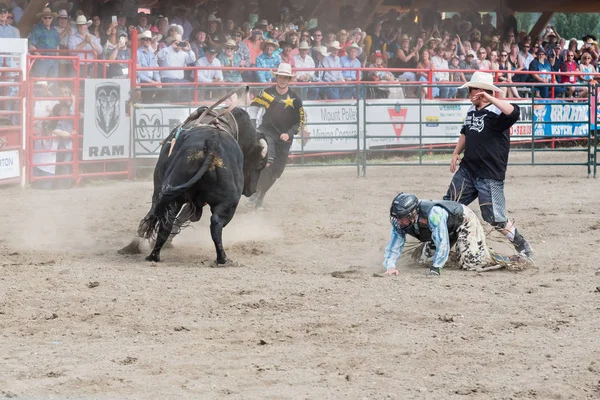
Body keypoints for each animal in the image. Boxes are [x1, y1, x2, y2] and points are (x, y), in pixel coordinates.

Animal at [136, 107, 270, 262]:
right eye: (260, 164)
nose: (253, 189)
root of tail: (212, 143)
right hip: (228, 202)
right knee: (216, 223)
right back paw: (222, 258)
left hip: (174, 195)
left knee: (168, 221)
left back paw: (154, 255)